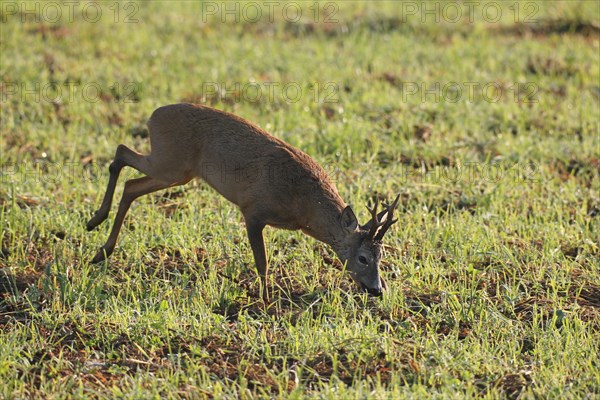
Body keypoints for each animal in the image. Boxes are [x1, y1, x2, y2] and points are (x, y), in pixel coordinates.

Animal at [85, 103, 398, 300]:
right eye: (362, 257)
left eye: (382, 256)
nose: (376, 290)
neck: (303, 206)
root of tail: (152, 116)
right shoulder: (253, 211)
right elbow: (262, 263)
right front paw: (266, 301)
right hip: (169, 163)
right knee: (122, 153)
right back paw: (95, 225)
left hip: (177, 172)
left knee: (130, 184)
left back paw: (101, 246)